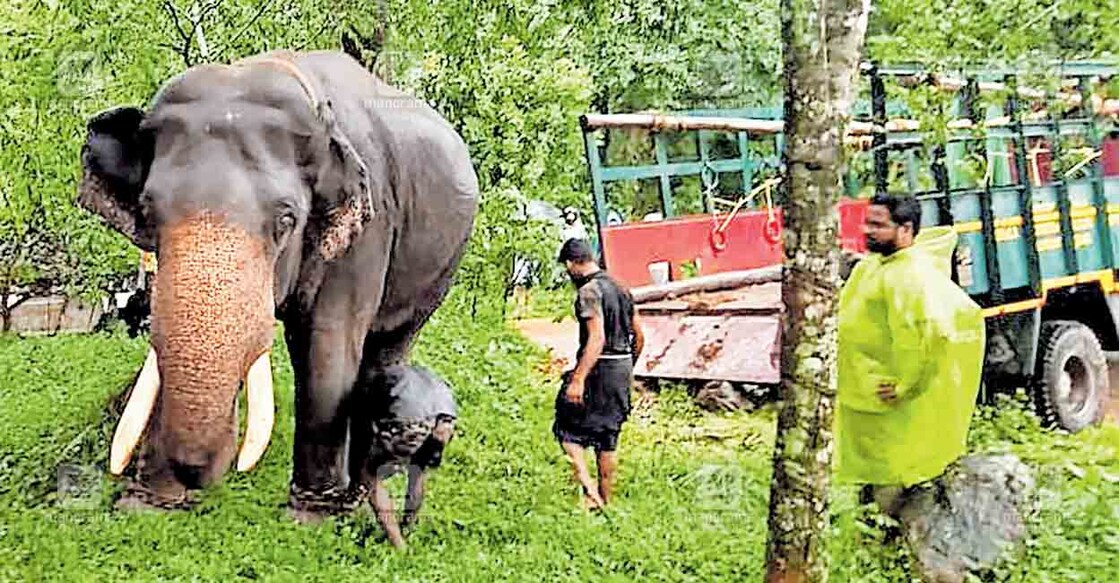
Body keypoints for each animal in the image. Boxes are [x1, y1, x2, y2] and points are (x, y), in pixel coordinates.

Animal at [76, 47, 478, 516]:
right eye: (148, 212)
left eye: (286, 220)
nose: (195, 476)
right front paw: (149, 506)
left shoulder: (368, 228)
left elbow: (327, 343)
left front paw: (309, 516)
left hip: (442, 266)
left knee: (388, 348)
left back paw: (358, 499)